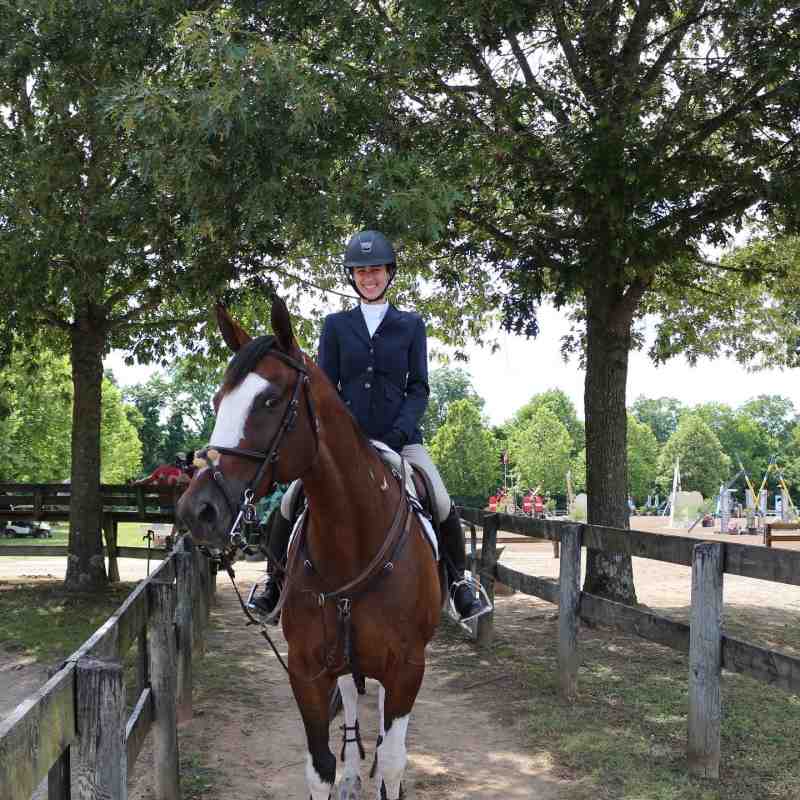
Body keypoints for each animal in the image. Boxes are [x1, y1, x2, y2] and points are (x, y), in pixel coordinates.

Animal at [176, 298, 446, 800]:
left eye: (268, 400)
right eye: (219, 402)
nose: (198, 510)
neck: (352, 543)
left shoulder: (407, 668)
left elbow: (394, 761)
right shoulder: (307, 672)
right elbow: (320, 766)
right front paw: (344, 774)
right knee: (355, 709)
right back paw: (354, 774)